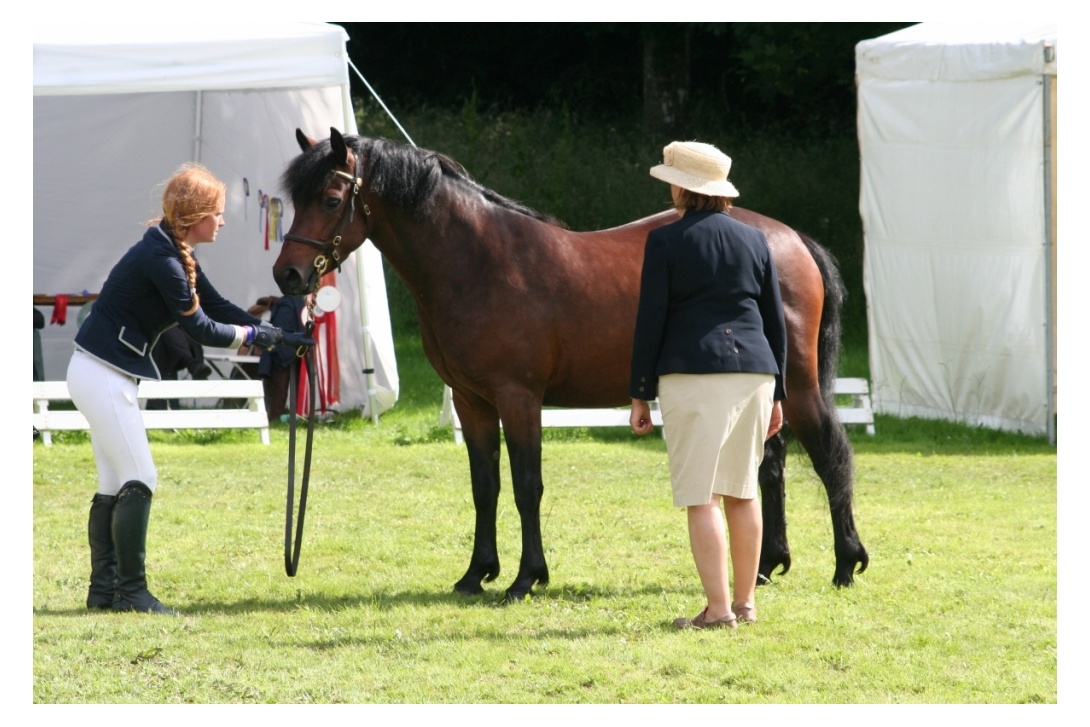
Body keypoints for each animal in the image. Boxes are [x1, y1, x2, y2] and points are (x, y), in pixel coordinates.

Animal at [274, 129, 867, 601]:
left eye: (330, 198)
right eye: (294, 198)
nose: (288, 275)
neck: (476, 262)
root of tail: (791, 239)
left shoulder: (518, 397)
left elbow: (525, 485)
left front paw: (525, 578)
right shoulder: (472, 401)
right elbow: (485, 487)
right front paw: (476, 574)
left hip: (800, 388)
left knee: (830, 457)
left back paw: (846, 563)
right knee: (769, 467)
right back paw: (766, 566)